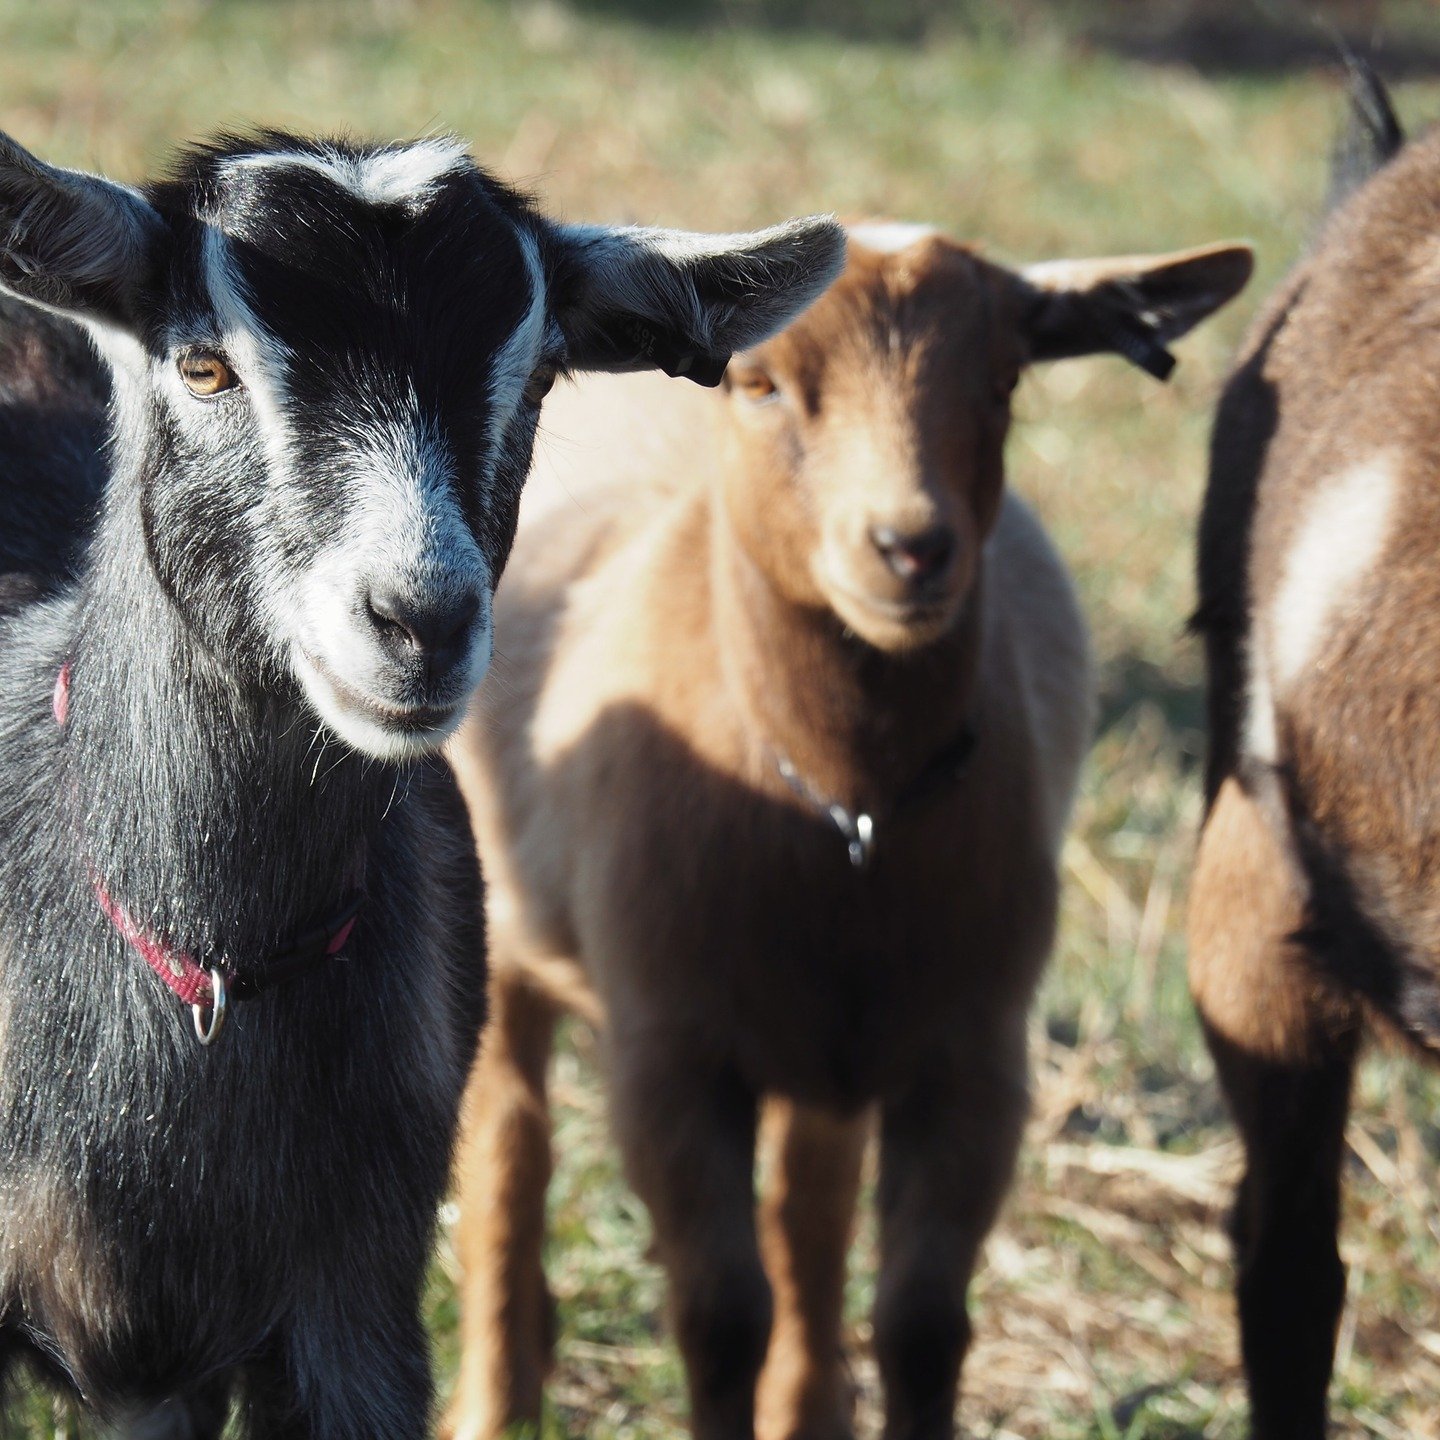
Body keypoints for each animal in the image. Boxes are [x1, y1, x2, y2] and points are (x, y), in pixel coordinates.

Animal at [443, 224, 1252, 1440]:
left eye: (1006, 379)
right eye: (760, 385)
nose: (911, 547)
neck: (842, 806)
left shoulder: (973, 1055)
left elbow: (920, 1324)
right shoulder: (670, 1055)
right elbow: (718, 1316)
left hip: (831, 1033)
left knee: (809, 1209)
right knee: (510, 1147)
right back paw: (497, 1395)